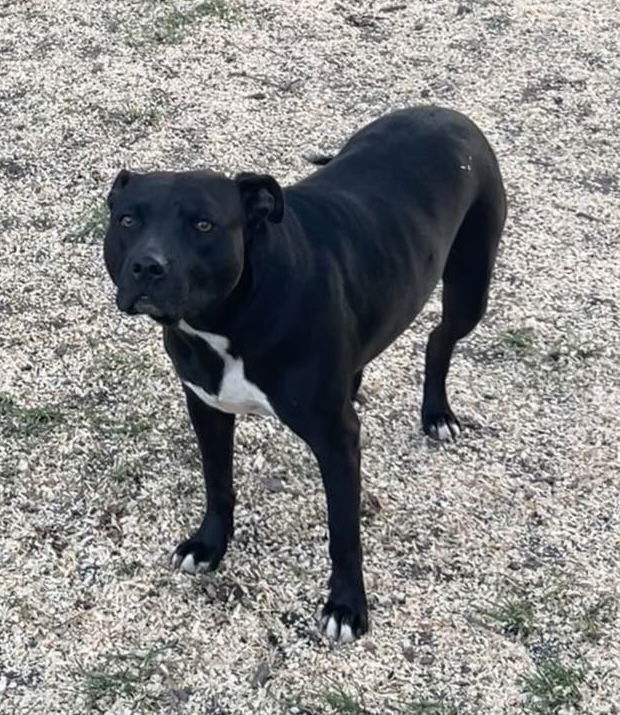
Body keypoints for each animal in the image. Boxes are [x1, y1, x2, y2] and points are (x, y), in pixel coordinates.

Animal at [104, 109, 506, 648]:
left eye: (203, 225)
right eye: (127, 220)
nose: (148, 266)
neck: (229, 316)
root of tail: (445, 112)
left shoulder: (336, 439)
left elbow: (344, 532)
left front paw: (347, 606)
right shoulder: (207, 407)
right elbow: (217, 482)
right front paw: (210, 544)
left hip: (470, 286)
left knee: (440, 338)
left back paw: (437, 413)